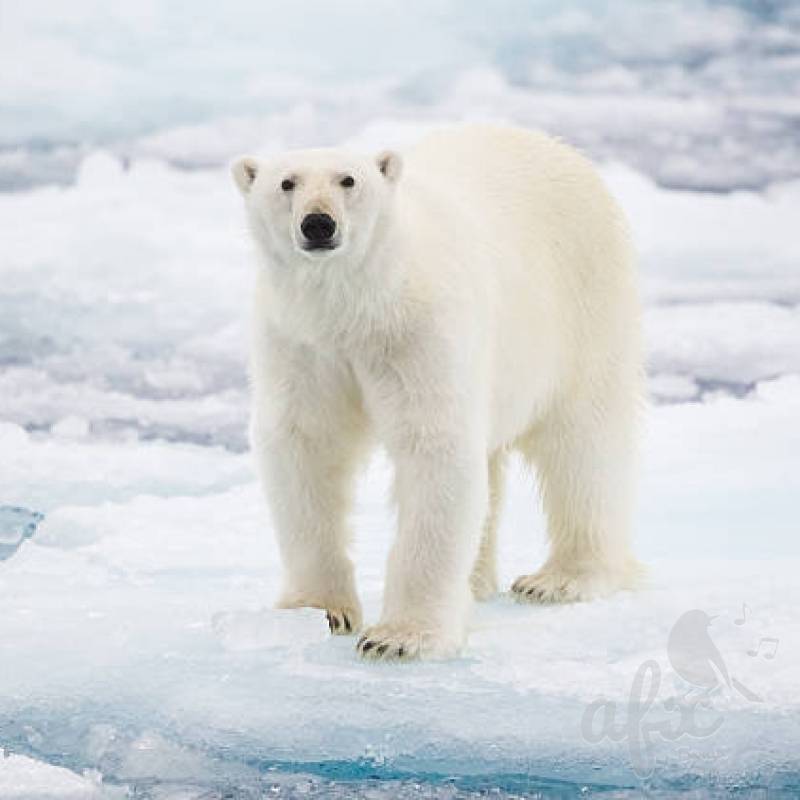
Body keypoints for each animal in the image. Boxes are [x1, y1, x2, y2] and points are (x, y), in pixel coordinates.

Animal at [231, 125, 644, 664]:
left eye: (349, 179)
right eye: (286, 182)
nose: (318, 224)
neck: (358, 306)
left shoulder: (418, 332)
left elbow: (434, 448)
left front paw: (399, 637)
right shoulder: (301, 342)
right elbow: (305, 445)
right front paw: (317, 610)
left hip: (583, 301)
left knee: (583, 444)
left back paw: (562, 578)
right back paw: (478, 580)